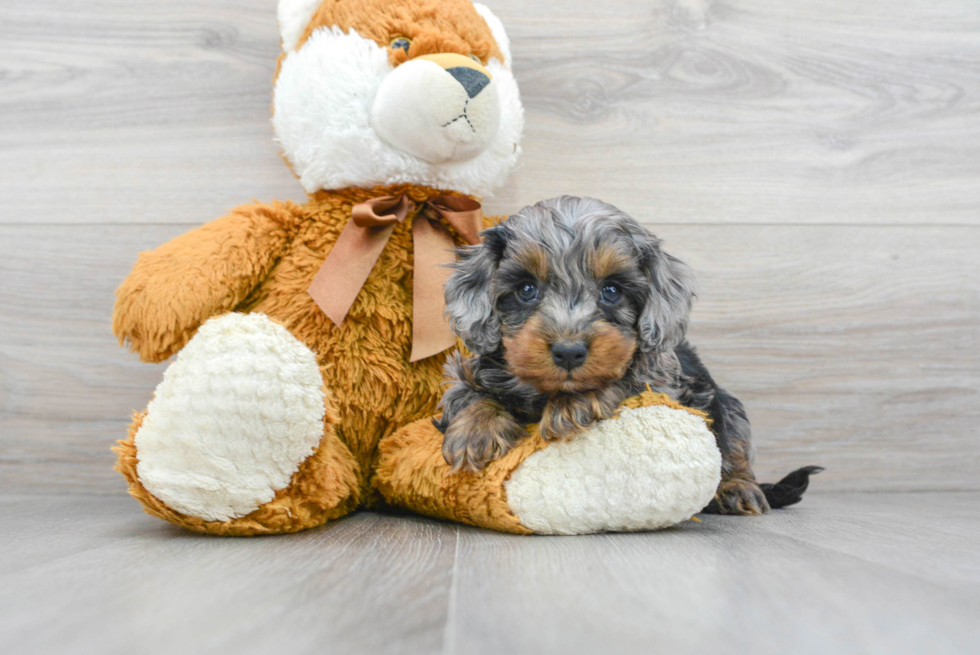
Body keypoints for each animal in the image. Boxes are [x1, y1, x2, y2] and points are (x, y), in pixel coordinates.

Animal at [436, 196, 820, 516]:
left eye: (611, 291)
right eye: (527, 289)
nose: (569, 352)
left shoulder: (661, 383)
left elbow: (623, 381)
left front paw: (576, 403)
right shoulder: (465, 374)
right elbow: (472, 393)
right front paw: (476, 429)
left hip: (729, 407)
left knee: (736, 450)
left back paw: (737, 489)